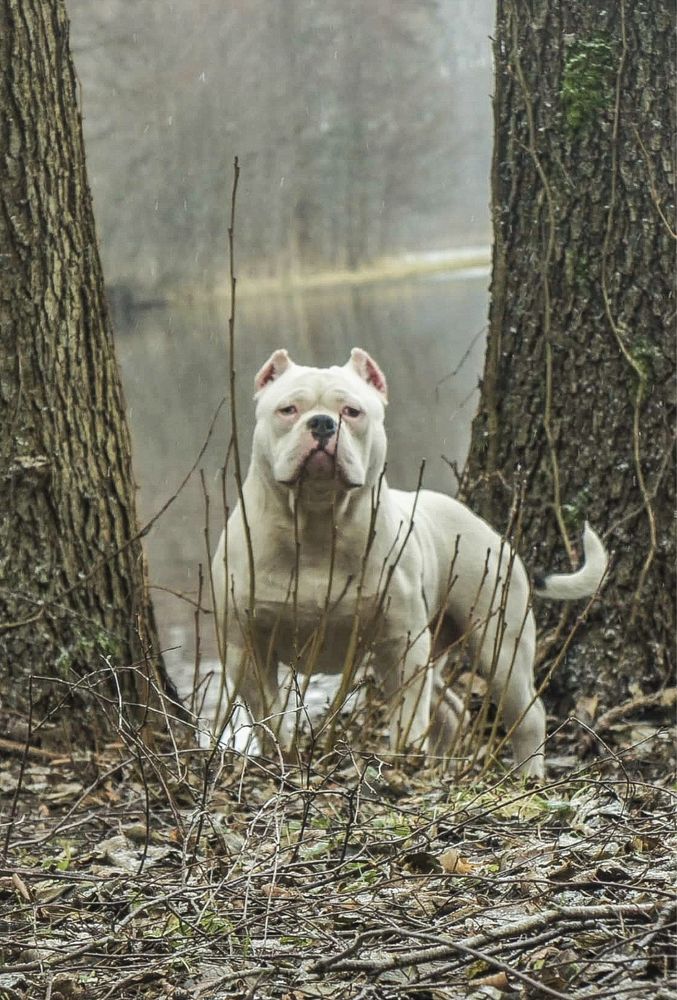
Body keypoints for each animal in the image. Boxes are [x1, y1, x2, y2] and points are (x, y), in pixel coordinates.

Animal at [213, 348, 608, 776]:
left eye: (352, 411)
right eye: (288, 409)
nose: (322, 423)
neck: (318, 522)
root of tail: (495, 534)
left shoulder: (401, 642)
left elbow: (407, 713)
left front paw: (401, 756)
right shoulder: (246, 646)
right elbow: (269, 714)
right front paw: (281, 758)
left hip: (501, 645)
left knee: (525, 715)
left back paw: (527, 775)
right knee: (451, 710)